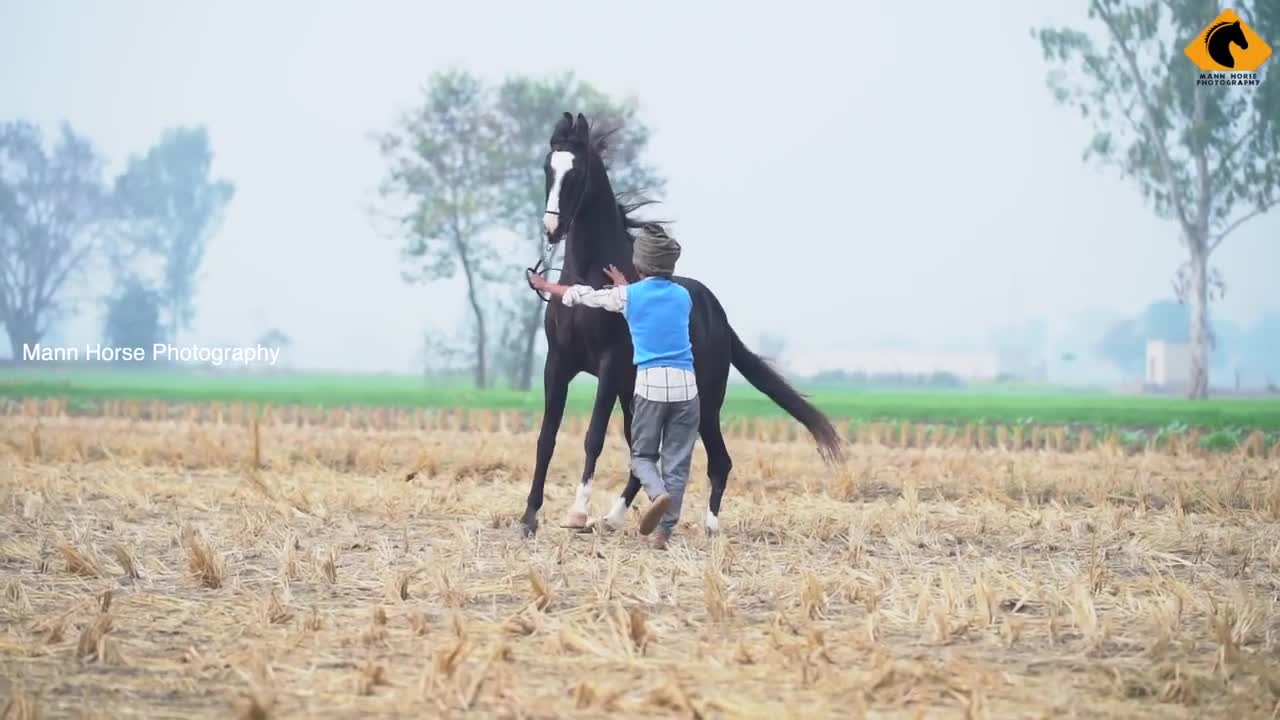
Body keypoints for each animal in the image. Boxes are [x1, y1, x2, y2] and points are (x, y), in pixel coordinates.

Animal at [514, 112, 844, 535]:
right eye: (547, 168)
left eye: (578, 172)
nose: (551, 229)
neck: (587, 279)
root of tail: (719, 317)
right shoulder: (558, 363)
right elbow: (547, 439)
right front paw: (528, 518)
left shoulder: (608, 366)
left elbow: (593, 437)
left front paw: (577, 513)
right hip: (636, 395)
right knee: (643, 455)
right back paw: (616, 518)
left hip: (705, 402)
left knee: (718, 461)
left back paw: (709, 527)